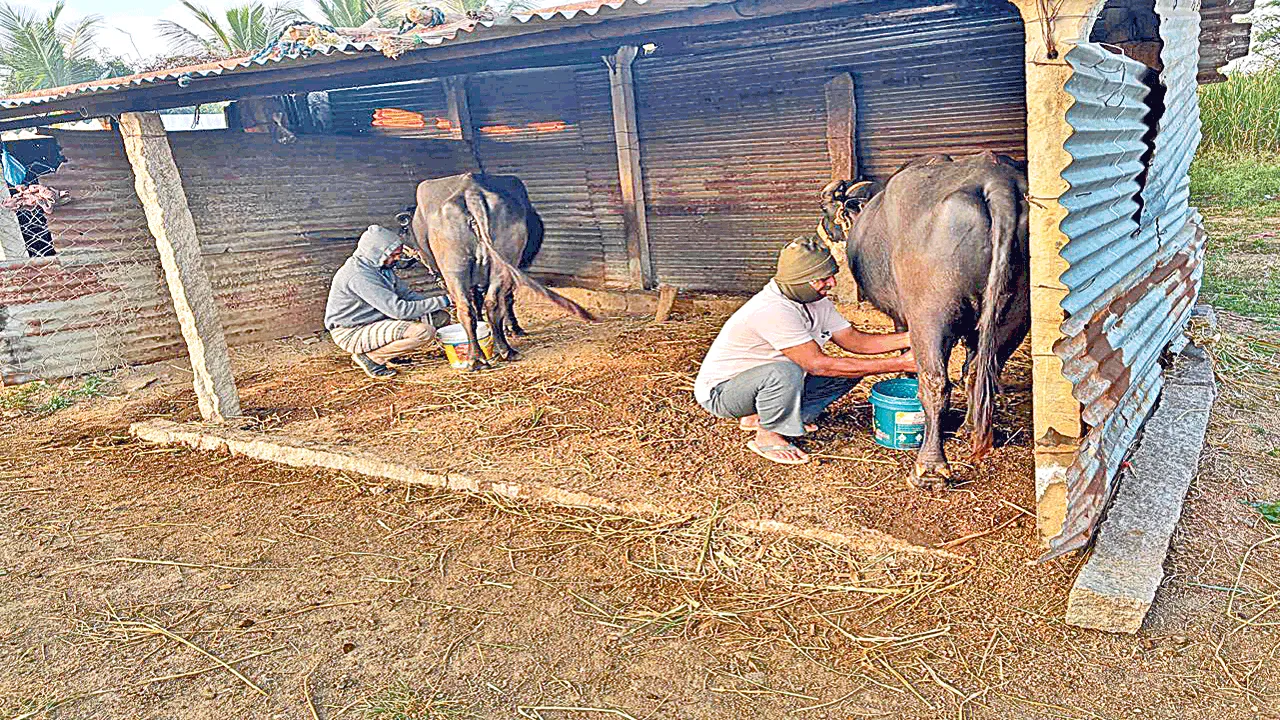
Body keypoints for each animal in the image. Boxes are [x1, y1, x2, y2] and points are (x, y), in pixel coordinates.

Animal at [399, 170, 593, 366]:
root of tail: (470, 190)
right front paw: (511, 328)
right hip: (498, 264)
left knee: (470, 306)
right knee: (490, 303)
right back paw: (502, 350)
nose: (400, 259)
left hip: (455, 268)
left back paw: (478, 357)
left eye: (404, 232)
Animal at [819, 152, 1029, 486]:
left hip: (930, 316)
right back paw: (971, 429)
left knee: (935, 383)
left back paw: (930, 468)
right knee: (980, 373)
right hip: (1014, 316)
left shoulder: (902, 318)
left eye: (827, 210)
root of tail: (997, 181)